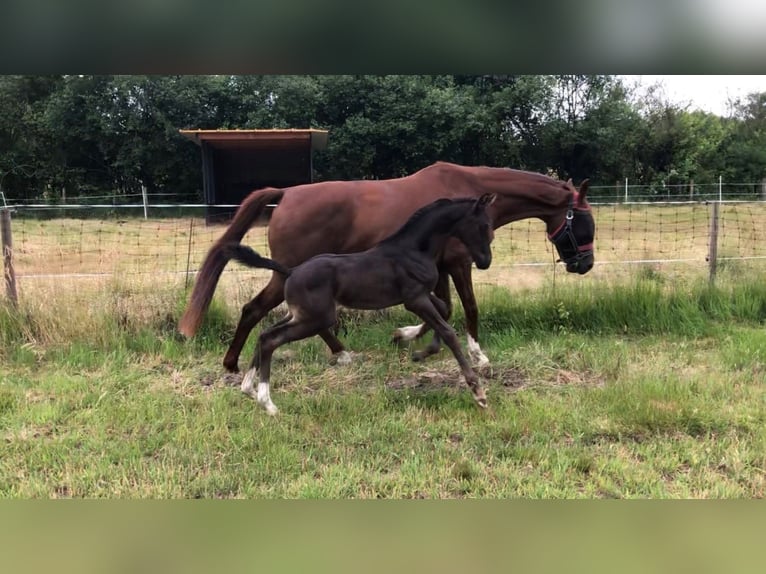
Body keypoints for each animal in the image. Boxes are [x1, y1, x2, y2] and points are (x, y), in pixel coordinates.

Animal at [178, 160, 592, 372]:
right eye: (586, 222)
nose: (585, 264)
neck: (466, 190)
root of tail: (286, 195)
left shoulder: (437, 270)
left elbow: (444, 309)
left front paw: (407, 337)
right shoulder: (458, 264)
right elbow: (466, 308)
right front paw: (478, 355)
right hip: (289, 275)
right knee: (257, 309)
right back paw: (235, 363)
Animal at [222, 196, 498, 416]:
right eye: (484, 225)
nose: (485, 262)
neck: (414, 250)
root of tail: (290, 271)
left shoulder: (422, 296)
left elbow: (444, 310)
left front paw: (412, 343)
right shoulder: (415, 299)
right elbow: (448, 331)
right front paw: (479, 393)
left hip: (300, 315)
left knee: (264, 334)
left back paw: (249, 389)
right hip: (315, 319)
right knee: (271, 339)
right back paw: (267, 402)